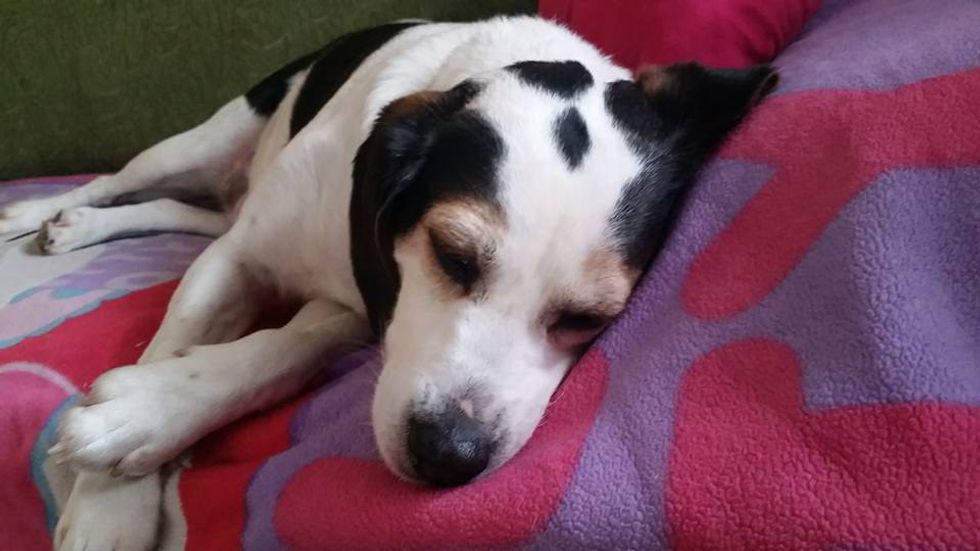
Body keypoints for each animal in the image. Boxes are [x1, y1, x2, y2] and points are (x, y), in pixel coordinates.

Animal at [0, 15, 776, 550]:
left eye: (588, 318)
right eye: (453, 255)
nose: (446, 456)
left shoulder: (352, 303)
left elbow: (276, 353)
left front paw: (148, 410)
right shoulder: (238, 260)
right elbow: (173, 338)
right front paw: (110, 506)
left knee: (185, 212)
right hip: (205, 140)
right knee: (120, 180)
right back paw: (44, 215)